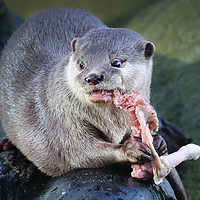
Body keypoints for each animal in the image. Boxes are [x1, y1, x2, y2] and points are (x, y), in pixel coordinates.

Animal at [0, 7, 186, 198]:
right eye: (82, 63)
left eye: (116, 62)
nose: (93, 77)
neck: (111, 121)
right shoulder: (61, 121)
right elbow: (78, 151)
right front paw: (130, 149)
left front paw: (159, 142)